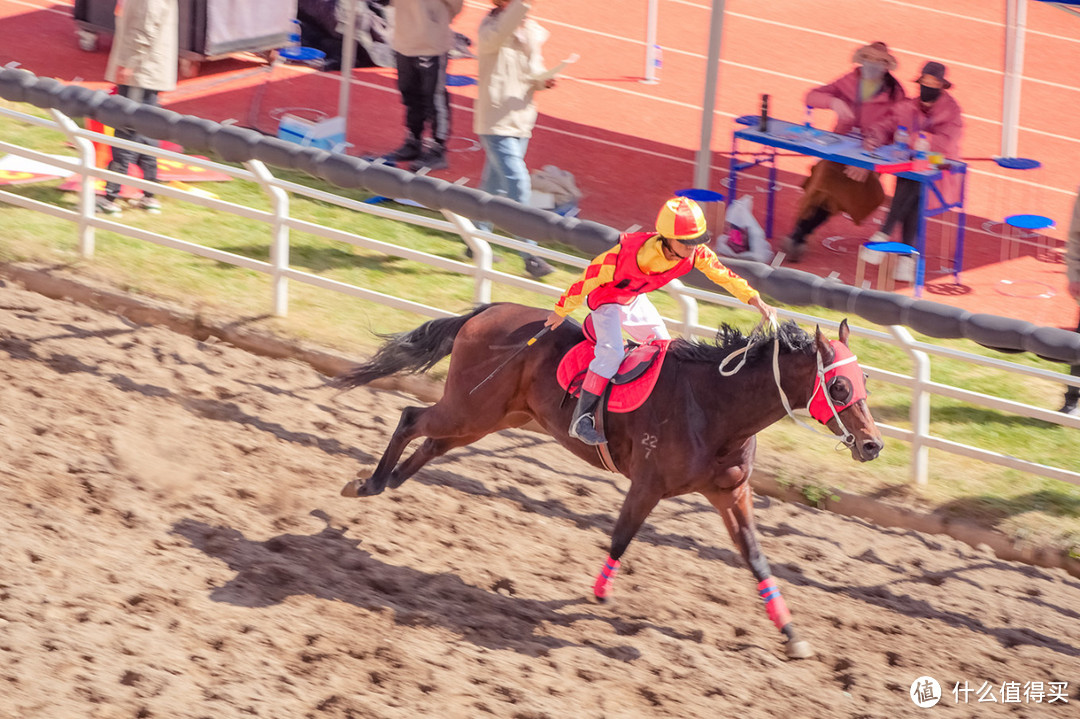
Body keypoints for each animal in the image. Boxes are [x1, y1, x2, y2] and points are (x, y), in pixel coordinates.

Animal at [332, 300, 881, 656]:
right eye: (837, 384)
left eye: (866, 381)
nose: (873, 444)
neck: (715, 405)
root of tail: (485, 311)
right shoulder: (648, 485)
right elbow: (621, 537)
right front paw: (598, 594)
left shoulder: (730, 492)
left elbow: (757, 559)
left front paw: (792, 635)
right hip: (469, 407)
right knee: (410, 419)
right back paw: (368, 483)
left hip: (488, 416)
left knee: (430, 443)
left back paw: (385, 482)